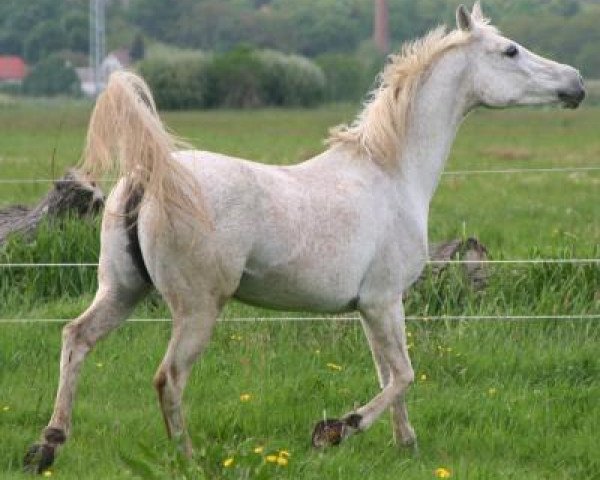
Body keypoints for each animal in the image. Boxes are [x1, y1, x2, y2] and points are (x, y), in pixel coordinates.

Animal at [23, 2, 580, 472]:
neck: (391, 173)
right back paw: (189, 458)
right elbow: (403, 374)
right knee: (169, 377)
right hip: (196, 309)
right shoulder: (384, 300)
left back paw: (47, 446)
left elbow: (390, 375)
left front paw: (406, 446)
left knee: (76, 338)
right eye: (509, 50)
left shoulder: (370, 308)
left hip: (122, 290)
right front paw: (335, 430)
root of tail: (149, 176)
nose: (576, 84)